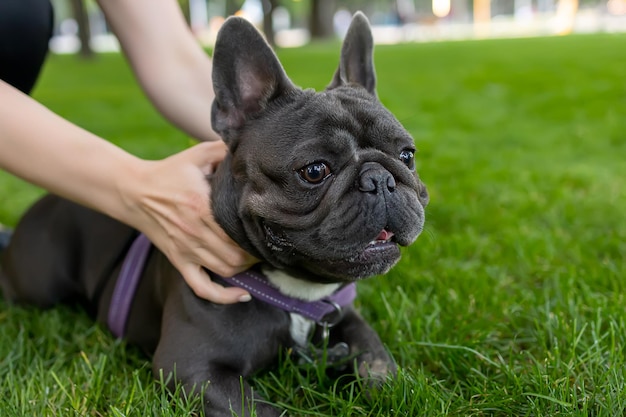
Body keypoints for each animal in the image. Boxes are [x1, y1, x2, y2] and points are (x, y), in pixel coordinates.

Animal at [0, 11, 426, 414]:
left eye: (407, 155)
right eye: (315, 171)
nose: (380, 179)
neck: (297, 291)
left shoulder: (349, 322)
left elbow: (378, 364)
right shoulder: (193, 367)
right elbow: (262, 412)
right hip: (40, 283)